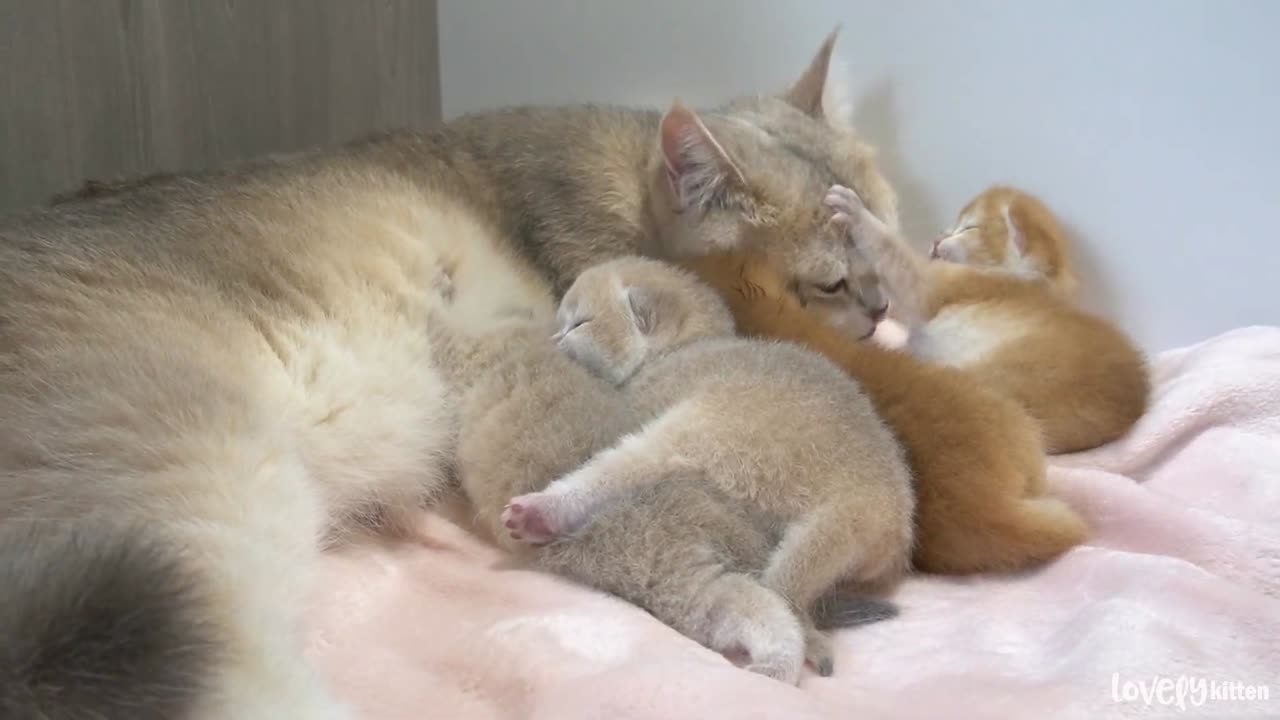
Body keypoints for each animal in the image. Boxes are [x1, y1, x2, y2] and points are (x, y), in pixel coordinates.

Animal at [504, 257, 916, 650]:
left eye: (579, 323)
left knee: (612, 474)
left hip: (699, 434)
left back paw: (540, 512)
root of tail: (870, 502)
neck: (680, 349)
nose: (554, 338)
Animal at [824, 181, 1157, 450]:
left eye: (969, 228)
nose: (937, 239)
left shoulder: (932, 286)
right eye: (953, 226)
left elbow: (892, 250)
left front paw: (857, 212)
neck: (1021, 278)